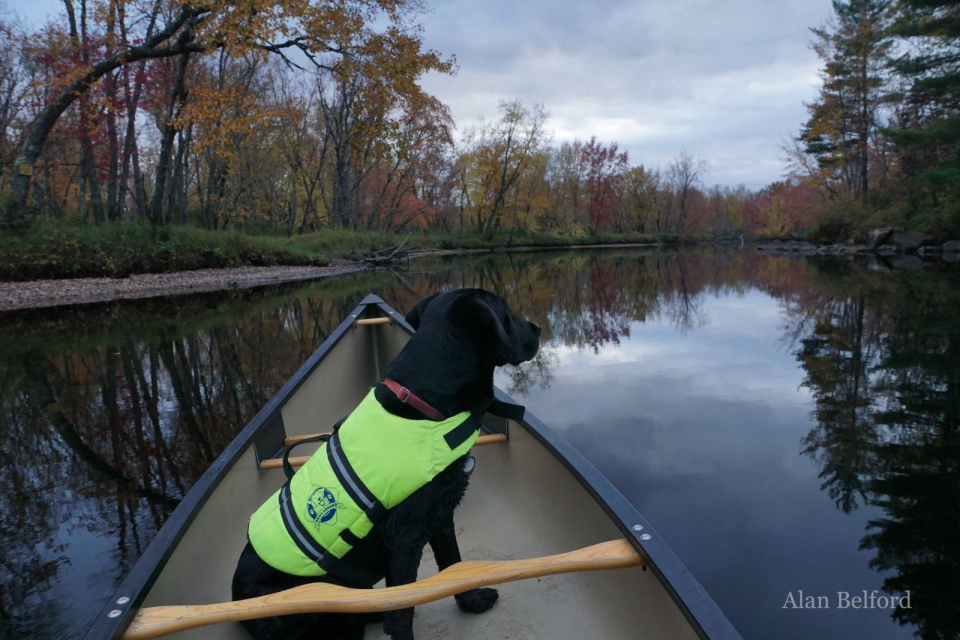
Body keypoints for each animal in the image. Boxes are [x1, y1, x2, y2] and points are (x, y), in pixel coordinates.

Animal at [232, 288, 540, 640]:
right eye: (507, 312)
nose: (538, 328)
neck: (427, 407)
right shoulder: (404, 539)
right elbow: (404, 607)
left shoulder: (440, 517)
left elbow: (454, 566)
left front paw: (471, 602)